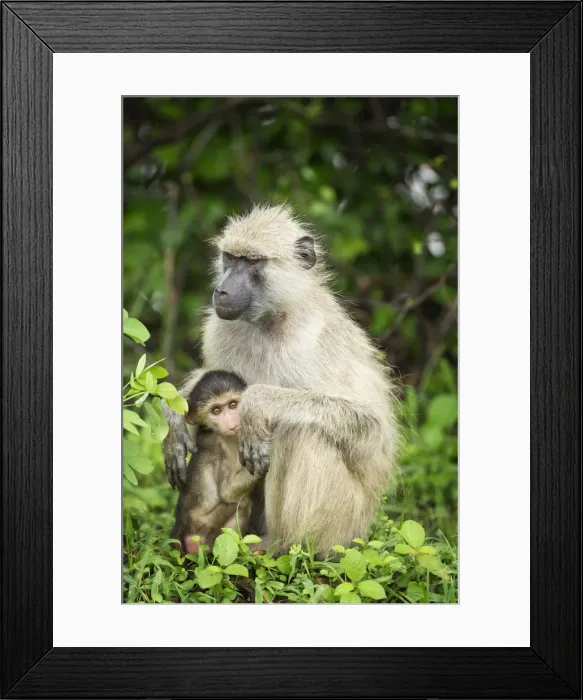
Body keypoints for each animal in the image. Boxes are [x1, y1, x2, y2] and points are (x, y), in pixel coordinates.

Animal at [170, 370, 263, 554]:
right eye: (216, 410)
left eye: (233, 405)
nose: (231, 423)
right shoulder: (221, 448)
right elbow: (227, 492)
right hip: (203, 528)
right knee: (242, 505)